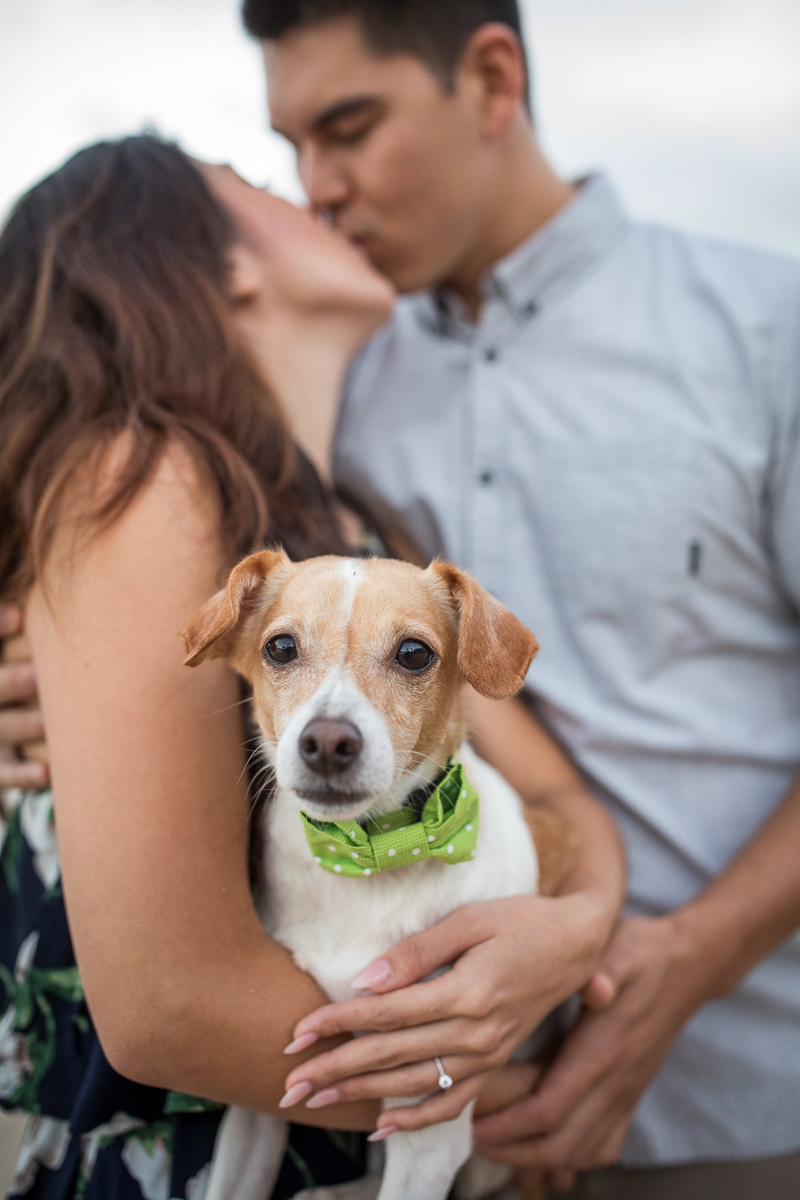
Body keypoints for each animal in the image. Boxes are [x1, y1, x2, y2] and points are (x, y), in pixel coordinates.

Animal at [182, 551, 554, 1200]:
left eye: (414, 654)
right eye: (281, 647)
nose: (329, 741)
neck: (372, 855)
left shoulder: (429, 1132)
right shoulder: (260, 1105)